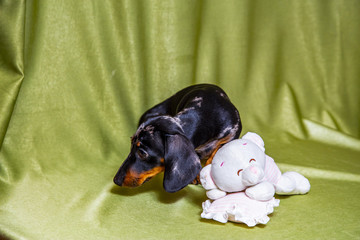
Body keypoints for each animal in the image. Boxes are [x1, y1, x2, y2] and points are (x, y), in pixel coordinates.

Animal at [112, 83, 242, 192]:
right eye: (131, 144)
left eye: (142, 153)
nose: (115, 180)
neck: (207, 115)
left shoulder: (232, 134)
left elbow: (217, 150)